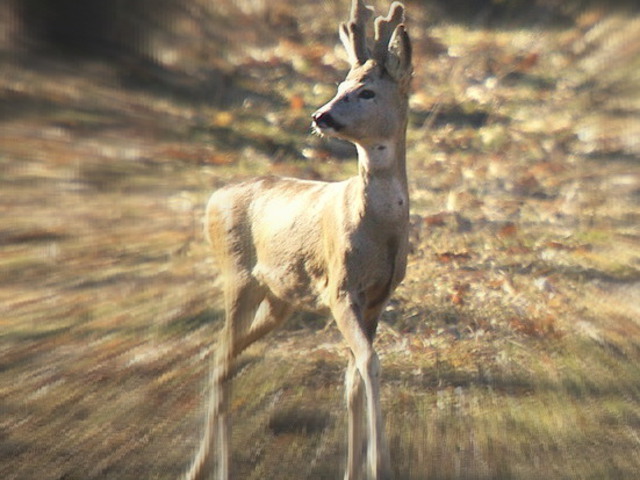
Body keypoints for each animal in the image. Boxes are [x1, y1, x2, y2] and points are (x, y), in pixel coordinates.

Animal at [186, 1, 416, 478]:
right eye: (340, 85)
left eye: (366, 92)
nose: (320, 115)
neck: (378, 228)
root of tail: (214, 197)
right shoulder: (339, 288)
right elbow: (370, 363)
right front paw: (378, 464)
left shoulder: (379, 296)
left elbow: (352, 379)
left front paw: (355, 469)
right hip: (238, 277)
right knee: (220, 357)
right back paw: (213, 468)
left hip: (280, 299)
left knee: (228, 355)